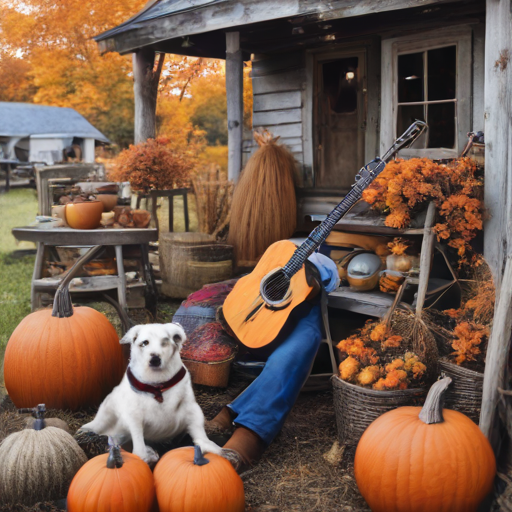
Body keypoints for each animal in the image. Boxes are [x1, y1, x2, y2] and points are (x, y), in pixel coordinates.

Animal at [79, 324, 220, 464]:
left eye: (164, 342)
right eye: (145, 343)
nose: (155, 359)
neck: (157, 386)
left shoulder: (191, 407)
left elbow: (199, 432)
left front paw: (212, 448)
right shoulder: (134, 415)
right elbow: (138, 442)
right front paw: (144, 456)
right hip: (107, 414)